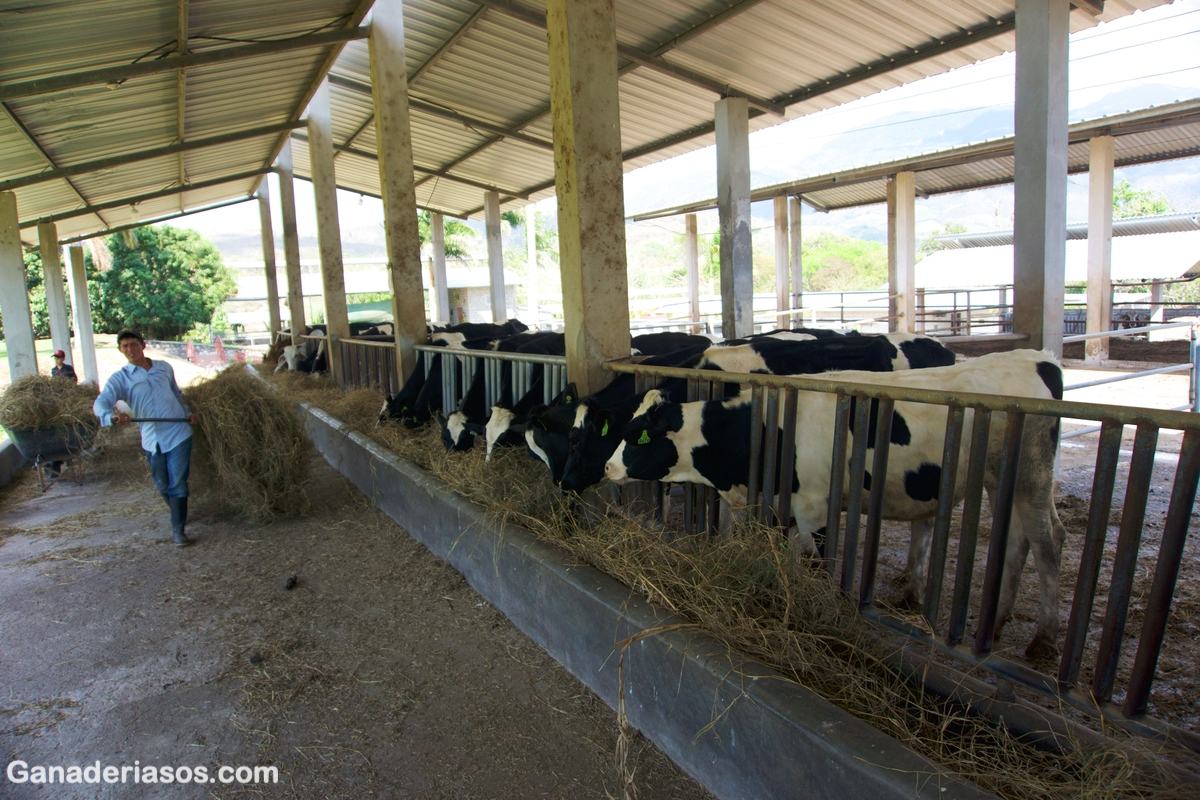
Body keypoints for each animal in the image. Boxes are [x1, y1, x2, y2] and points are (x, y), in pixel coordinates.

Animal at [609, 347, 1070, 657]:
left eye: (635, 437)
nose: (609, 467)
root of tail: (1037, 357)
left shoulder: (814, 506)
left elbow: (816, 565)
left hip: (1031, 476)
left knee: (1049, 543)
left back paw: (1045, 638)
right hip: (1001, 483)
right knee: (1018, 541)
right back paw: (996, 621)